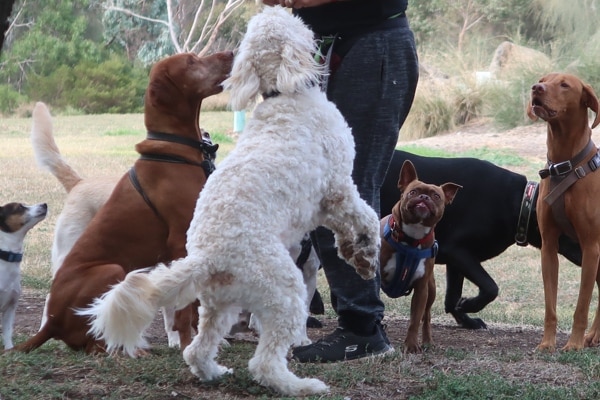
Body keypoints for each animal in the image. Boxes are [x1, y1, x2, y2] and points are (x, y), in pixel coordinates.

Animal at [13, 51, 234, 354]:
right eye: (191, 61)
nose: (231, 53)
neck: (175, 151)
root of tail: (52, 324)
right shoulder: (180, 243)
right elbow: (184, 310)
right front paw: (187, 345)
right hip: (112, 269)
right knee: (91, 335)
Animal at [78, 6, 380, 396]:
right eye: (297, 24)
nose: (300, 15)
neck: (282, 95)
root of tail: (209, 256)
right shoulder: (338, 186)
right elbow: (366, 217)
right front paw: (368, 253)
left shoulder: (323, 204)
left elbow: (346, 228)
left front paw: (354, 252)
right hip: (283, 289)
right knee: (264, 362)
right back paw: (300, 385)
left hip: (220, 303)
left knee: (196, 349)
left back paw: (213, 372)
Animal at [380, 159, 460, 354]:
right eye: (413, 192)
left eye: (436, 196)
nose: (424, 198)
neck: (411, 238)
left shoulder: (421, 289)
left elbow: (415, 320)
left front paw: (410, 345)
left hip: (431, 290)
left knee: (427, 316)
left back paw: (427, 341)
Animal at [528, 72, 600, 354]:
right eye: (543, 79)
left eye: (565, 85)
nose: (535, 88)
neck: (564, 164)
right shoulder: (548, 246)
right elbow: (550, 307)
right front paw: (547, 343)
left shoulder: (591, 247)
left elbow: (581, 307)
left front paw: (574, 343)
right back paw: (594, 336)